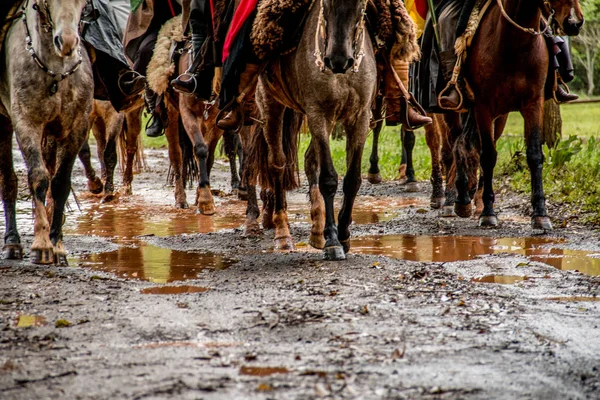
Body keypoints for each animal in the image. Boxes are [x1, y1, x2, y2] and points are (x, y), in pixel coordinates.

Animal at [0, 0, 93, 264]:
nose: (67, 42)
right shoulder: (26, 123)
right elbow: (39, 178)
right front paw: (41, 245)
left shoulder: (77, 127)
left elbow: (60, 184)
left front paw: (57, 246)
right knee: (8, 179)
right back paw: (12, 242)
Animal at [252, 0, 376, 260]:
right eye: (326, 3)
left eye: (361, 5)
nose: (338, 60)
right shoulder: (318, 114)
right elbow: (328, 177)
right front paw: (333, 241)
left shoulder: (360, 117)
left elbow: (352, 179)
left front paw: (343, 234)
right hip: (270, 103)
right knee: (277, 163)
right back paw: (283, 234)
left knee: (309, 159)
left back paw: (317, 230)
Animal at [452, 0, 584, 230]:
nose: (574, 22)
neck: (514, 45)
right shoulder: (483, 107)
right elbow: (488, 156)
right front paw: (488, 213)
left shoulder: (533, 104)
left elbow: (534, 155)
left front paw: (540, 214)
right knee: (461, 143)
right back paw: (465, 199)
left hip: (501, 117)